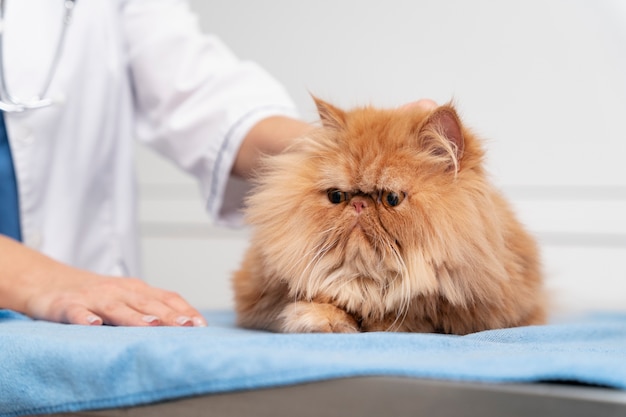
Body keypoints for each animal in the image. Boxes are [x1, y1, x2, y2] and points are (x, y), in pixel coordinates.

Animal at [232, 97, 544, 334]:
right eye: (337, 196)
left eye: (391, 199)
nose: (359, 204)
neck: (370, 283)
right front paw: (321, 318)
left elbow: (419, 312)